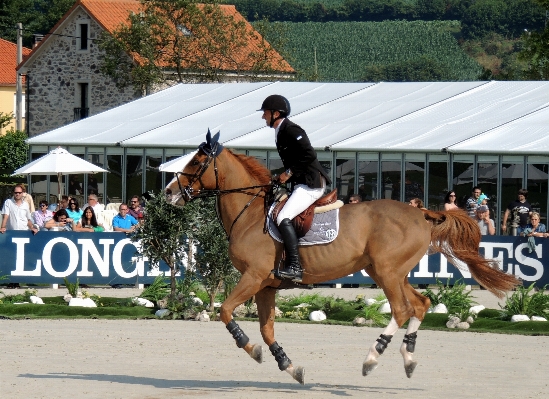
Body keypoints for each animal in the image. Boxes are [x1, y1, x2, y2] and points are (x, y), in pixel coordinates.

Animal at [165, 137, 520, 384]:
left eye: (197, 161)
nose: (168, 193)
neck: (250, 213)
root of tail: (421, 212)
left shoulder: (253, 277)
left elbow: (225, 311)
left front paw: (248, 347)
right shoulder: (265, 285)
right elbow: (267, 330)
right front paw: (289, 367)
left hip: (387, 272)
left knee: (402, 309)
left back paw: (373, 357)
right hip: (388, 272)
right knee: (420, 304)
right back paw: (407, 359)